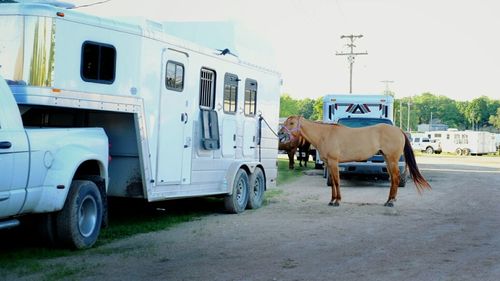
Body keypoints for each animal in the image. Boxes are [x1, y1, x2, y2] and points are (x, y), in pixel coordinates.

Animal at [280, 115, 432, 207]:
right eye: (286, 122)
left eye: (292, 123)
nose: (281, 134)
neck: (325, 135)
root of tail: (399, 130)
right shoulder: (329, 163)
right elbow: (333, 182)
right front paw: (332, 200)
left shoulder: (334, 162)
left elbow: (337, 181)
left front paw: (337, 201)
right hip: (388, 159)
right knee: (393, 179)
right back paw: (388, 200)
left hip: (393, 159)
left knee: (395, 178)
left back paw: (391, 202)